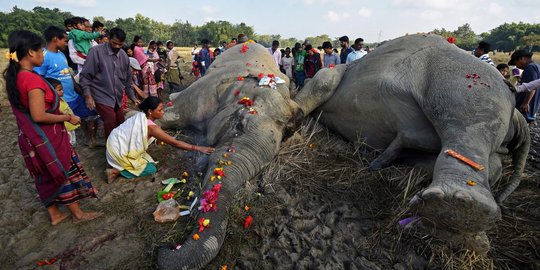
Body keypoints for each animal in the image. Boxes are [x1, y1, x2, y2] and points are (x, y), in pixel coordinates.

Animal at [155, 34, 528, 268]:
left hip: (469, 82)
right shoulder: (203, 92)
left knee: (472, 127)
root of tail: (518, 111)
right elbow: (169, 113)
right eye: (238, 126)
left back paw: (457, 216)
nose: (164, 249)